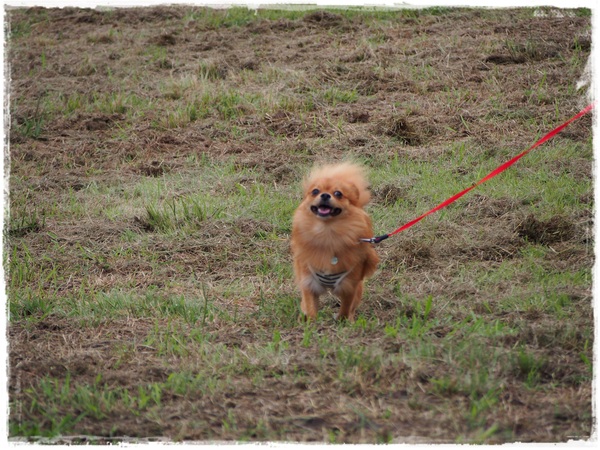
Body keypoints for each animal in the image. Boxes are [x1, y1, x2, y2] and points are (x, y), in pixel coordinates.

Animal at [290, 162, 380, 320]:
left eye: (338, 194)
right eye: (315, 191)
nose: (325, 195)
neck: (327, 232)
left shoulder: (349, 285)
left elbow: (346, 307)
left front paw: (342, 321)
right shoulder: (309, 282)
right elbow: (310, 304)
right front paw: (311, 321)